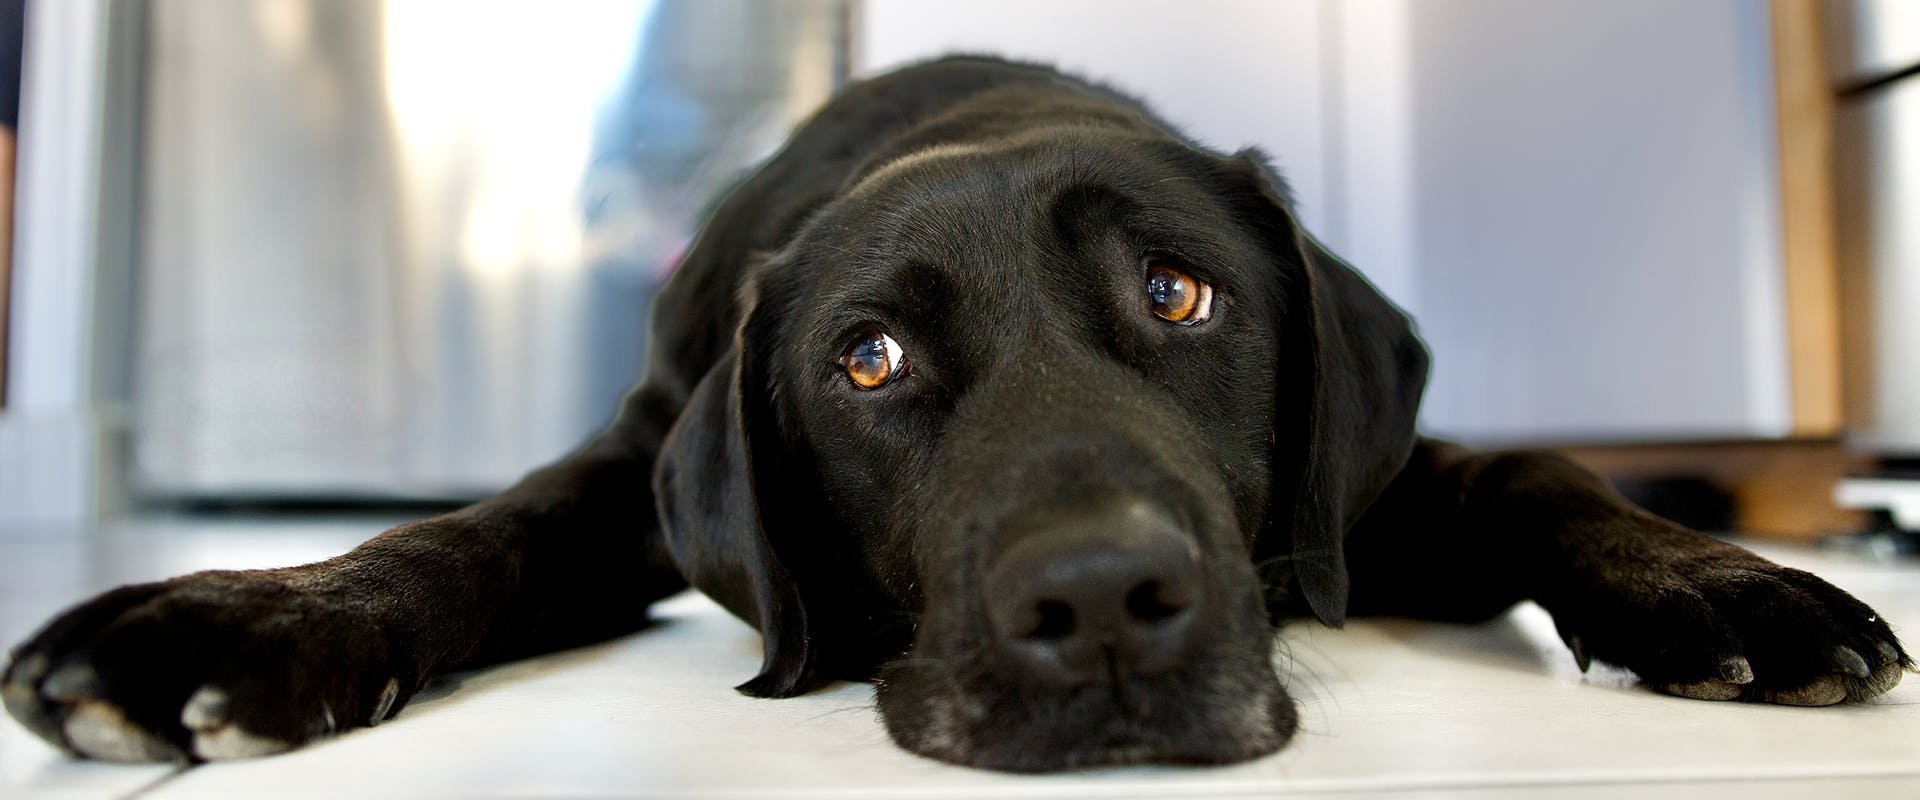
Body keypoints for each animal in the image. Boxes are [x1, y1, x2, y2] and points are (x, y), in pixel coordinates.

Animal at [0, 56, 1904, 767]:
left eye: (1179, 294)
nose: (1104, 607)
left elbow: (1541, 472)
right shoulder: (628, 464)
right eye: (868, 362)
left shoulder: (1366, 499)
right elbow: (469, 535)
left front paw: (1726, 587)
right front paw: (240, 621)